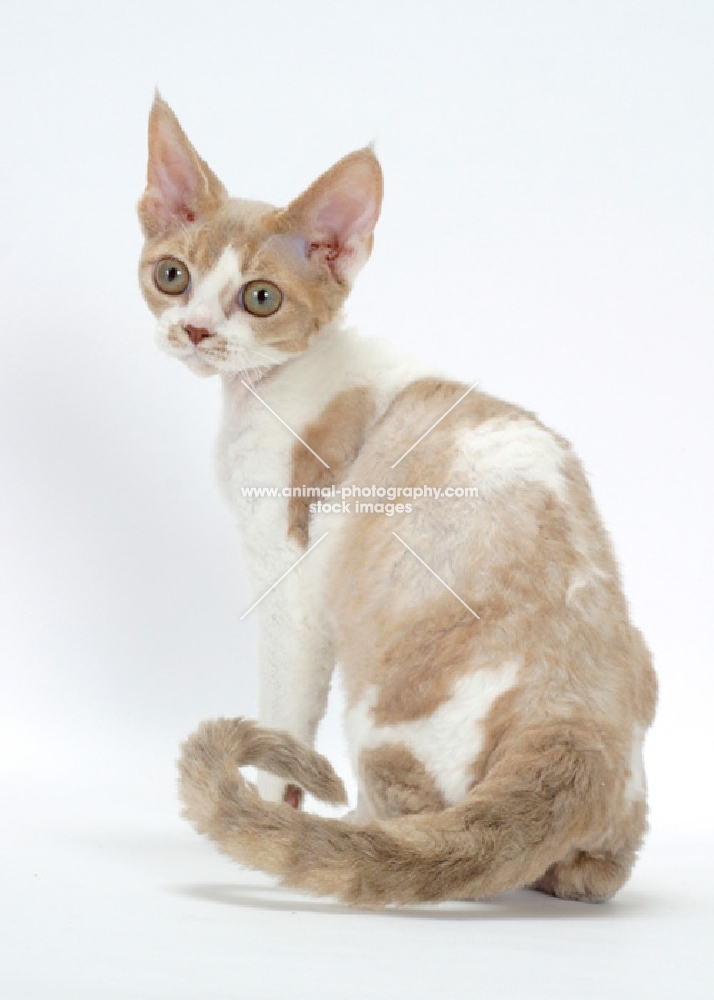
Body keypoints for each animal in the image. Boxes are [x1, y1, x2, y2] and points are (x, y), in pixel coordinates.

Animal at [136, 94, 652, 908]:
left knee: (415, 836)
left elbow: (286, 710)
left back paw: (350, 835)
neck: (262, 391)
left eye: (260, 298)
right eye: (171, 275)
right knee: (586, 872)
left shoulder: (292, 582)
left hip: (382, 706)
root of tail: (577, 732)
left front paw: (276, 804)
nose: (192, 330)